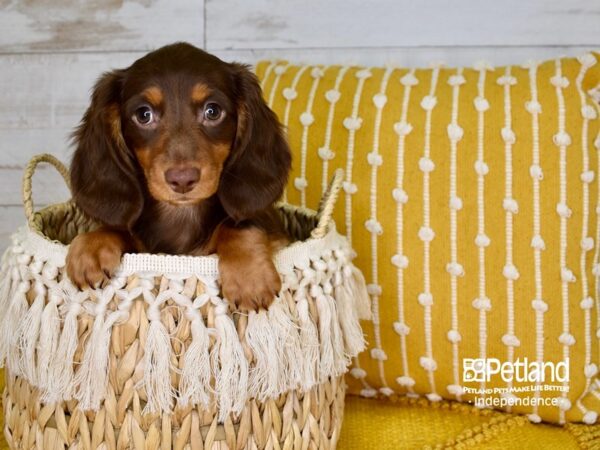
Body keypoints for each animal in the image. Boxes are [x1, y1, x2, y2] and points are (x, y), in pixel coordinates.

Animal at [65, 42, 290, 312]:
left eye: (213, 111)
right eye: (143, 114)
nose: (182, 180)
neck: (181, 215)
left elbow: (239, 225)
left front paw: (249, 277)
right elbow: (120, 227)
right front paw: (91, 246)